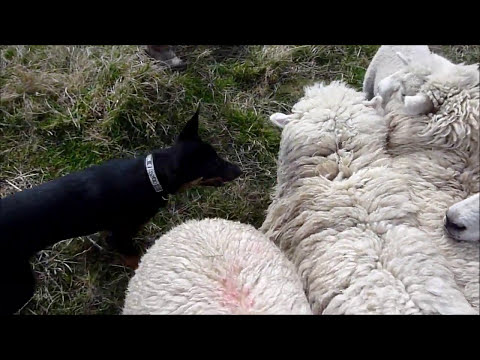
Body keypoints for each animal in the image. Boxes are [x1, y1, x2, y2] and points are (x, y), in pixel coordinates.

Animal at [0, 107, 240, 316]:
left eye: (218, 156)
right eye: (215, 165)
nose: (239, 170)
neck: (152, 177)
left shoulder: (113, 233)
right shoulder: (121, 236)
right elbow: (135, 258)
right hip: (22, 284)